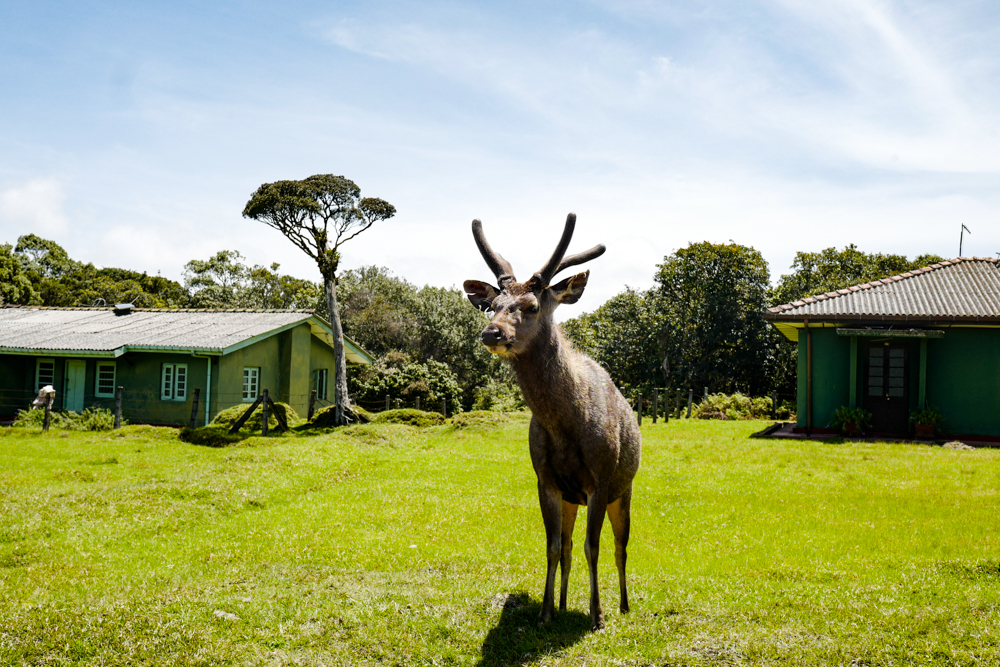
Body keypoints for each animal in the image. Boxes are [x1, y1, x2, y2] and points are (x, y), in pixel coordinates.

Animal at [462, 214, 640, 632]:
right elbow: (554, 546)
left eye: (530, 306)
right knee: (571, 546)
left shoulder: (600, 479)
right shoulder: (546, 479)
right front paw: (545, 611)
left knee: (621, 546)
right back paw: (561, 603)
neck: (565, 427)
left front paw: (597, 615)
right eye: (492, 306)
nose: (491, 333)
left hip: (624, 489)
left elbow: (595, 546)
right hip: (573, 497)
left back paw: (624, 605)